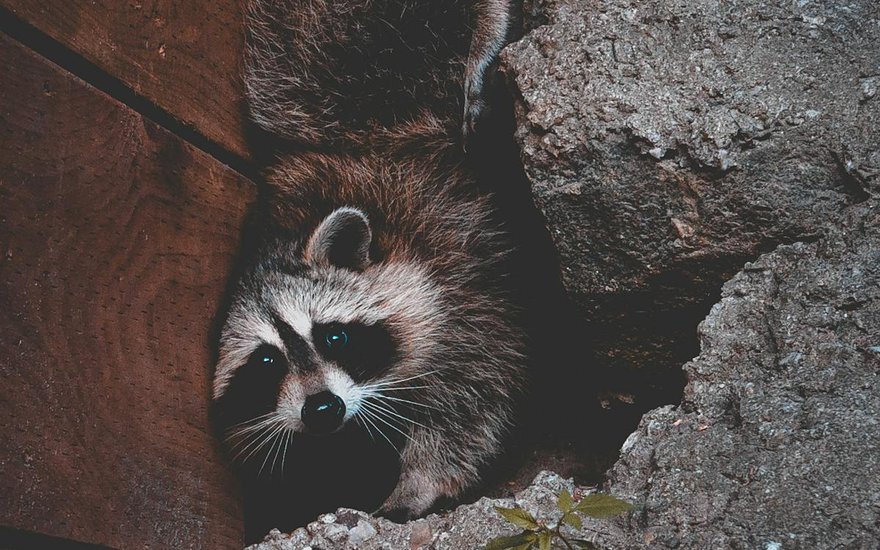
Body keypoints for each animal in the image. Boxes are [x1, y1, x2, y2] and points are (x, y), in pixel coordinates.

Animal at [213, 0, 524, 524]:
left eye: (333, 336)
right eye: (266, 361)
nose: (323, 410)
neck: (280, 234)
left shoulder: (462, 269)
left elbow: (474, 388)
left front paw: (421, 478)